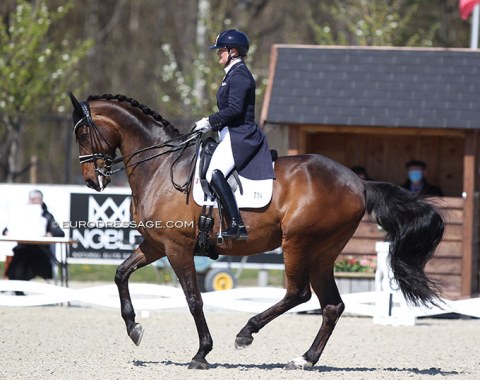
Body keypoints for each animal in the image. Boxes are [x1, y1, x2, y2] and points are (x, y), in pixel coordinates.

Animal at [67, 93, 442, 370]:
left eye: (82, 134)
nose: (91, 181)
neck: (160, 167)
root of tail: (359, 183)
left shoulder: (177, 248)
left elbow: (193, 299)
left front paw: (202, 353)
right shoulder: (156, 245)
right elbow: (120, 273)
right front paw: (134, 328)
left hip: (298, 243)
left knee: (298, 293)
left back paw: (247, 332)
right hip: (323, 252)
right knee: (332, 305)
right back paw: (304, 359)